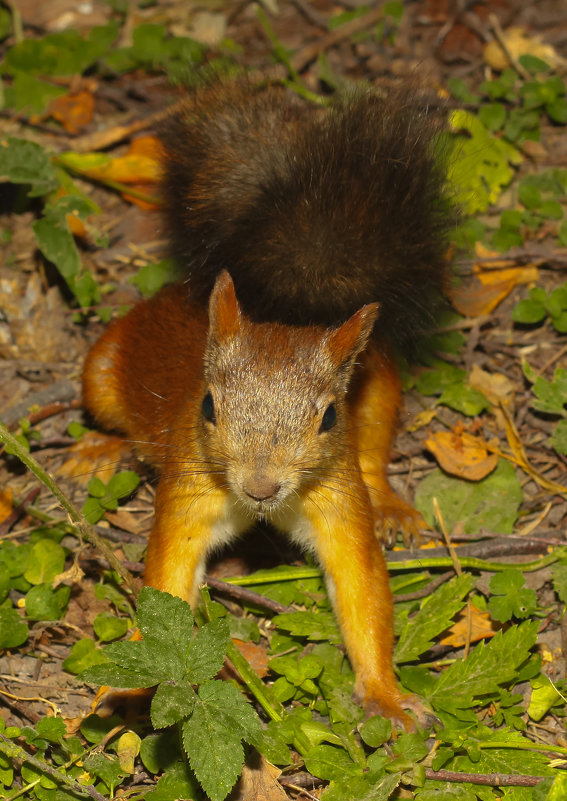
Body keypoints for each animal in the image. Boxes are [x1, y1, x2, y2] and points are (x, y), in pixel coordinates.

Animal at [81, 79, 452, 724]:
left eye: (328, 417)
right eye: (208, 406)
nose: (260, 487)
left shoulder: (335, 497)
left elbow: (362, 587)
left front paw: (386, 694)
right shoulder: (189, 490)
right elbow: (168, 577)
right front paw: (130, 685)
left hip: (380, 390)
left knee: (375, 450)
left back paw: (394, 507)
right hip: (100, 374)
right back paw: (99, 449)